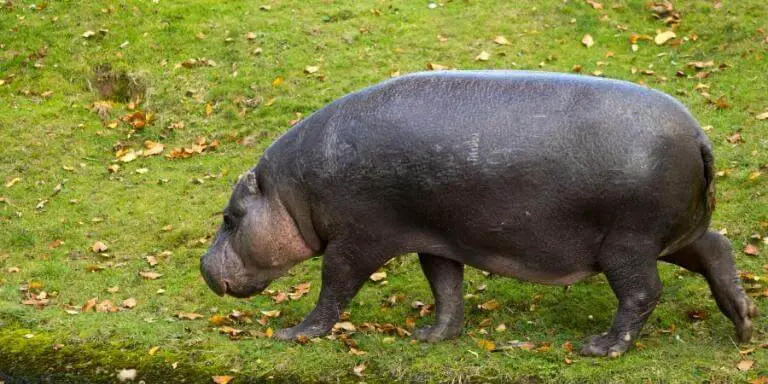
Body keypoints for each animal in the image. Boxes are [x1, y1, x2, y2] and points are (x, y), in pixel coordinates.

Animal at [200, 70, 756, 356]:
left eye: (229, 218)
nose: (204, 266)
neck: (289, 194)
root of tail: (699, 135)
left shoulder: (358, 240)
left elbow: (333, 288)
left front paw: (294, 334)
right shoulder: (434, 236)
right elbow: (445, 287)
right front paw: (432, 337)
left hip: (628, 243)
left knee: (642, 293)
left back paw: (600, 347)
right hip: (671, 234)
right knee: (717, 249)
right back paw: (744, 324)